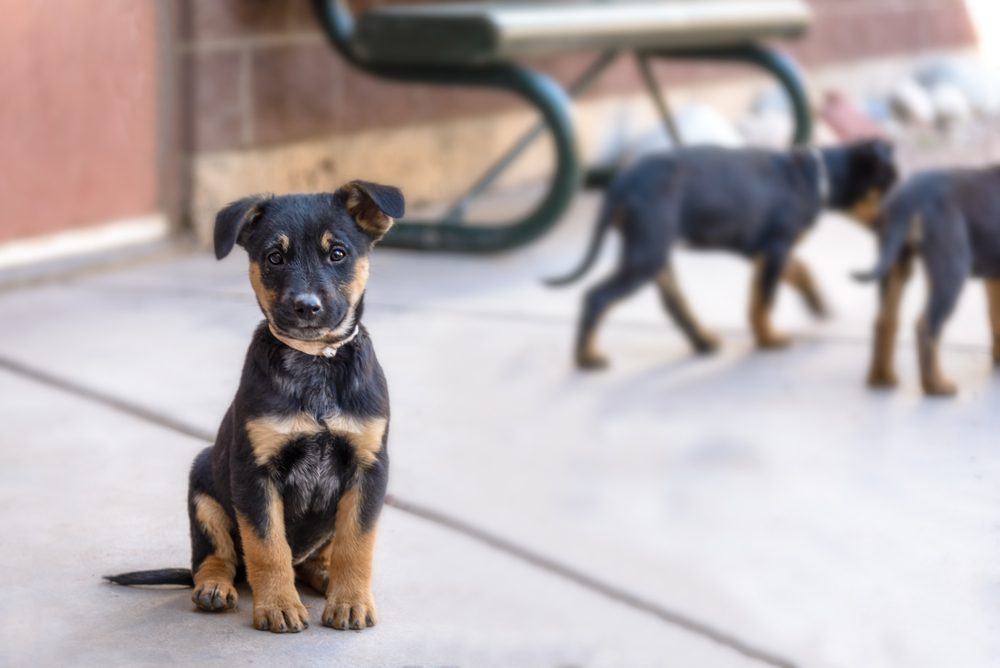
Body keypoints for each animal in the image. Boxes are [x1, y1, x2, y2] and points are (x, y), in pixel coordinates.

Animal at [107, 181, 404, 632]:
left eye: (338, 253)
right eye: (274, 257)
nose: (306, 306)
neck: (314, 362)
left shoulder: (368, 468)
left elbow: (356, 543)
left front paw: (350, 601)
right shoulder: (254, 473)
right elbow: (267, 546)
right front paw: (278, 605)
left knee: (314, 556)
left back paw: (324, 575)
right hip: (204, 492)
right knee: (216, 558)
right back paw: (214, 588)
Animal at [548, 142, 900, 370]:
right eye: (885, 187)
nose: (896, 219)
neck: (818, 176)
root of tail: (621, 184)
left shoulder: (765, 252)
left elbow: (785, 281)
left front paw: (816, 304)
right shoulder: (776, 247)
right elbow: (766, 300)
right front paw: (770, 340)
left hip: (653, 251)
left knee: (673, 303)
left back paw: (703, 342)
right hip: (646, 255)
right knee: (596, 297)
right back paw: (586, 358)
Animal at [852, 167, 1000, 396]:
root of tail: (908, 197)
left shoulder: (993, 278)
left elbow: (995, 317)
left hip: (897, 265)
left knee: (885, 320)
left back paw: (882, 378)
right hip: (951, 268)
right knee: (926, 325)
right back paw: (936, 385)